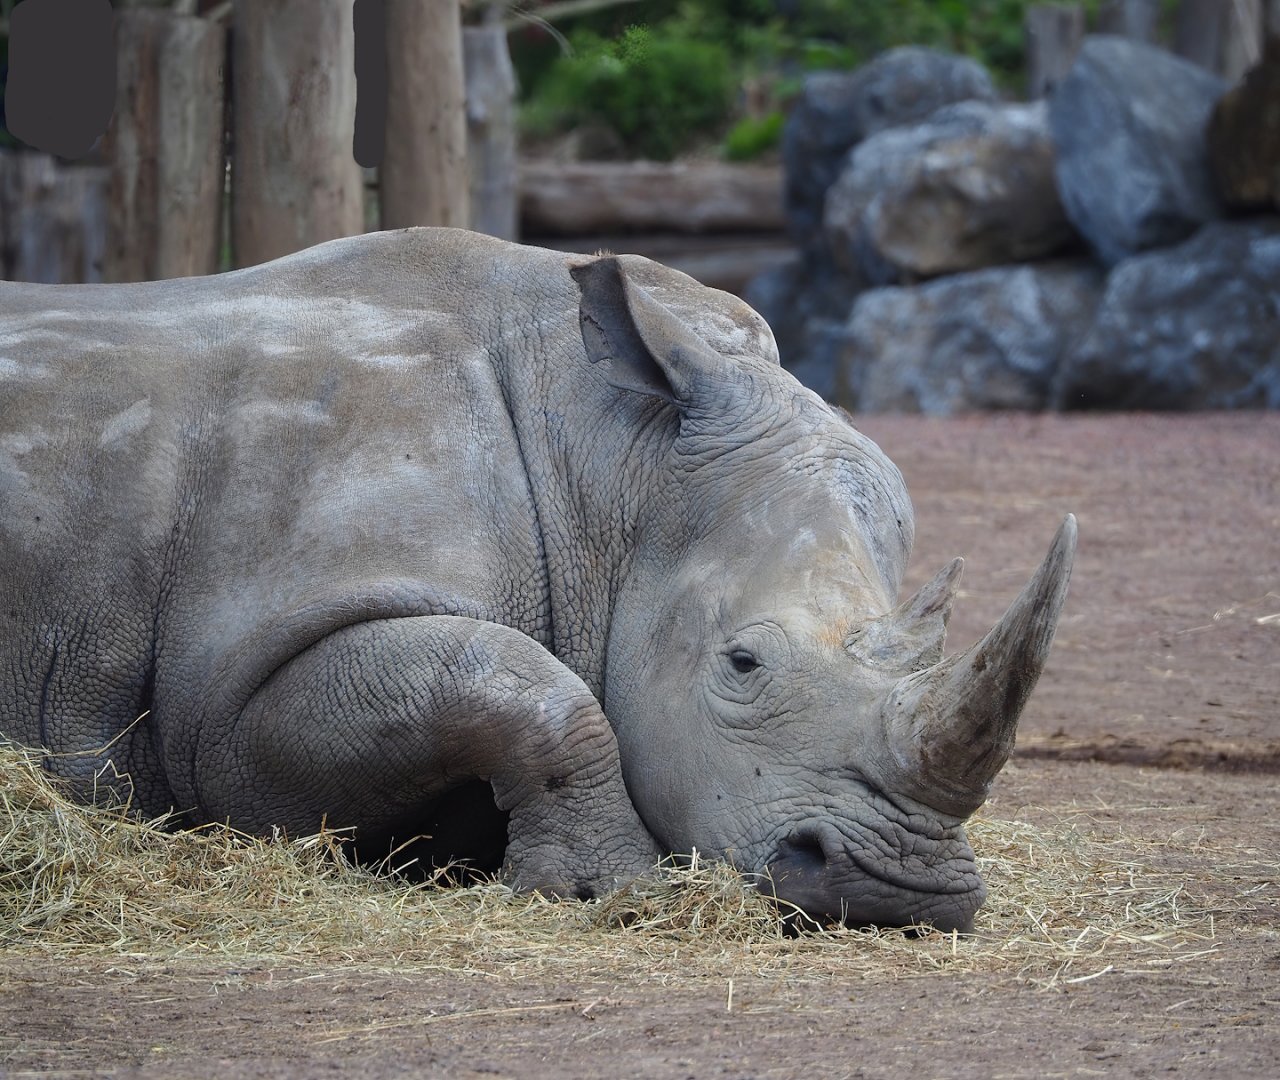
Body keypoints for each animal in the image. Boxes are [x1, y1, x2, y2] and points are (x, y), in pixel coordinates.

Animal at [0, 228, 1074, 932]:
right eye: (742, 664)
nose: (902, 889)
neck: (615, 467)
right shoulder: (227, 690)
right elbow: (517, 685)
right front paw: (604, 892)